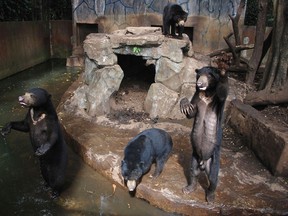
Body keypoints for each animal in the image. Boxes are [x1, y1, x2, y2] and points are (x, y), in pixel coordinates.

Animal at [180, 66, 230, 202]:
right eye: (199, 75)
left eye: (209, 75)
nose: (199, 84)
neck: (207, 93)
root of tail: (203, 161)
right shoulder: (197, 96)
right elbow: (191, 112)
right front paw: (185, 104)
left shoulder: (217, 101)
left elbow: (223, 92)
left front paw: (223, 69)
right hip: (194, 156)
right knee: (193, 171)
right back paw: (189, 188)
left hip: (213, 158)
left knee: (213, 177)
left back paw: (211, 197)